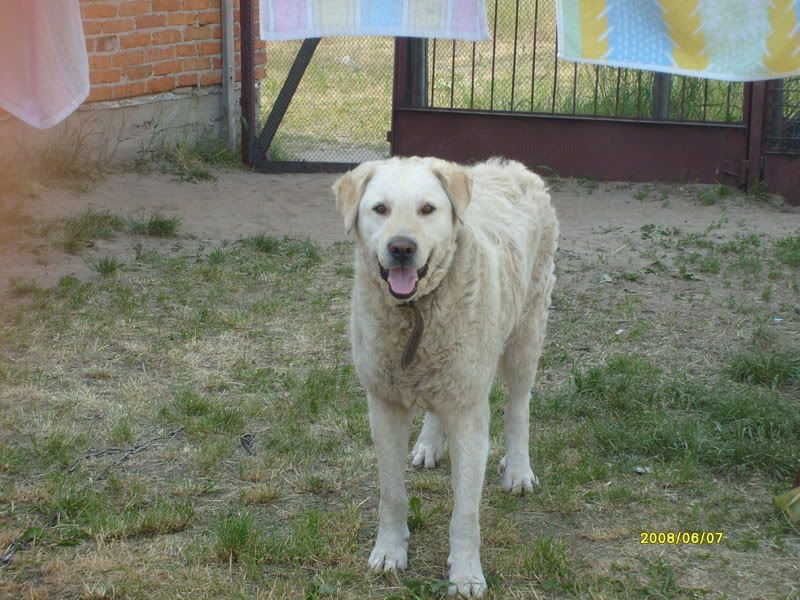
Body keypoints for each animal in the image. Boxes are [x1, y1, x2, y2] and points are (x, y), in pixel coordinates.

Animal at [333, 156, 558, 598]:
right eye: (380, 209)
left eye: (427, 209)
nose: (402, 248)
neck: (417, 311)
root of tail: (512, 166)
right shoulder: (384, 404)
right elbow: (392, 493)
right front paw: (390, 550)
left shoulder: (469, 412)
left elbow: (465, 511)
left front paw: (466, 573)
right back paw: (428, 444)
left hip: (526, 334)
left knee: (519, 408)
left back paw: (518, 470)